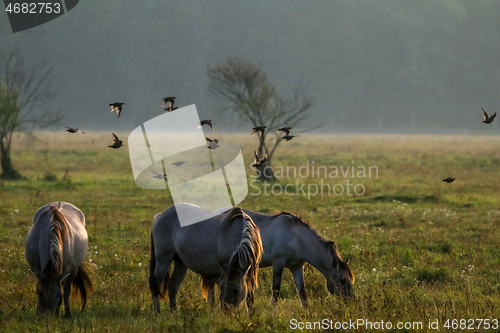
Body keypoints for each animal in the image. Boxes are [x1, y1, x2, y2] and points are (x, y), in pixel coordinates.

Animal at [200, 206, 356, 308]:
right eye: (343, 280)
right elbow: (276, 290)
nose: (352, 301)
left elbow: (302, 292)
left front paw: (307, 314)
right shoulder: (278, 264)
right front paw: (273, 312)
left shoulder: (297, 267)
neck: (297, 237)